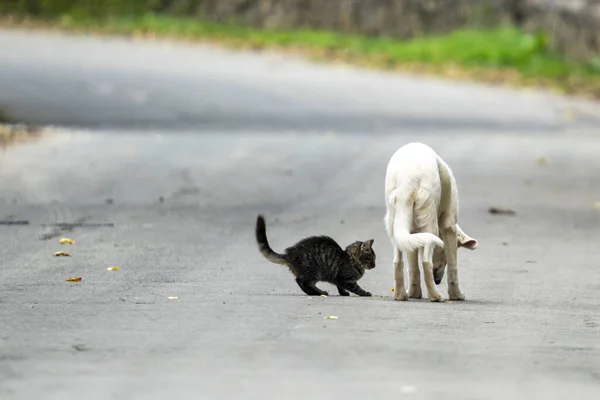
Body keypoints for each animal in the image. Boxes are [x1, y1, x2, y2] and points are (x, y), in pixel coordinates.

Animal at [384, 142, 478, 302]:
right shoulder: (449, 226)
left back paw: (401, 295)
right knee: (426, 261)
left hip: (394, 221)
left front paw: (414, 293)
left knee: (398, 261)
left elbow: (413, 268)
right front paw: (457, 295)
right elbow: (453, 268)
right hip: (429, 219)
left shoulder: (413, 234)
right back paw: (435, 296)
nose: (437, 280)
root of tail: (406, 181)